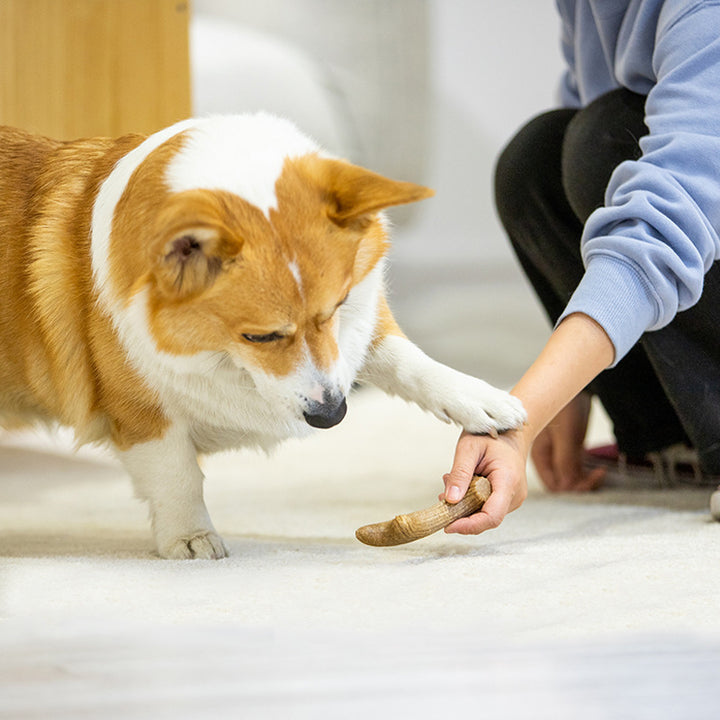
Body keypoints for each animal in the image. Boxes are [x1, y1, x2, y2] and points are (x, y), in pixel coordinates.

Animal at [0, 115, 524, 560]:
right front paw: (191, 539)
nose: (333, 416)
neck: (222, 357)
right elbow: (177, 477)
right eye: (259, 336)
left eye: (337, 306)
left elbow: (407, 360)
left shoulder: (357, 330)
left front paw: (484, 401)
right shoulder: (142, 413)